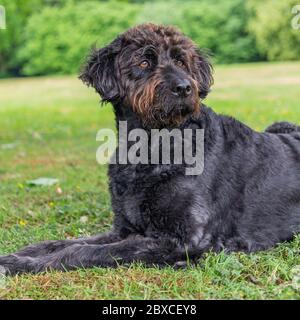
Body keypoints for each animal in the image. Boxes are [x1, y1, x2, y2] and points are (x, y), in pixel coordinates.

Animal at [0, 23, 300, 276]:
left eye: (181, 61)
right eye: (143, 62)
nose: (184, 87)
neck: (152, 145)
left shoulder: (181, 238)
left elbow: (84, 250)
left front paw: (25, 264)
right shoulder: (124, 229)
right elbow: (63, 242)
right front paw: (20, 255)